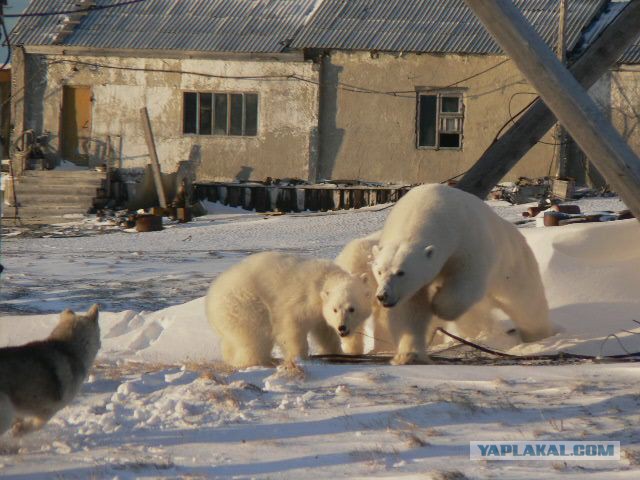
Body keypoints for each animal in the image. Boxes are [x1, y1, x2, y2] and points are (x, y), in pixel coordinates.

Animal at [0, 306, 100, 436]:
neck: (68, 349)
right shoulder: (49, 410)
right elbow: (36, 425)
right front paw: (20, 431)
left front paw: (18, 428)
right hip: (5, 415)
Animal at [205, 251, 372, 368]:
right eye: (335, 309)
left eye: (352, 309)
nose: (342, 327)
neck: (323, 279)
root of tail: (211, 298)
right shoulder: (302, 301)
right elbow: (292, 326)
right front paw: (299, 357)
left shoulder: (320, 311)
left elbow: (325, 331)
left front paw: (337, 351)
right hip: (245, 303)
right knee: (256, 334)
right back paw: (262, 360)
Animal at [372, 183, 552, 360]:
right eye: (379, 271)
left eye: (401, 272)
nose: (383, 296)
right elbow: (410, 308)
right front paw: (409, 355)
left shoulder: (466, 240)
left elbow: (467, 280)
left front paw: (439, 305)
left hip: (512, 264)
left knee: (524, 302)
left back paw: (538, 335)